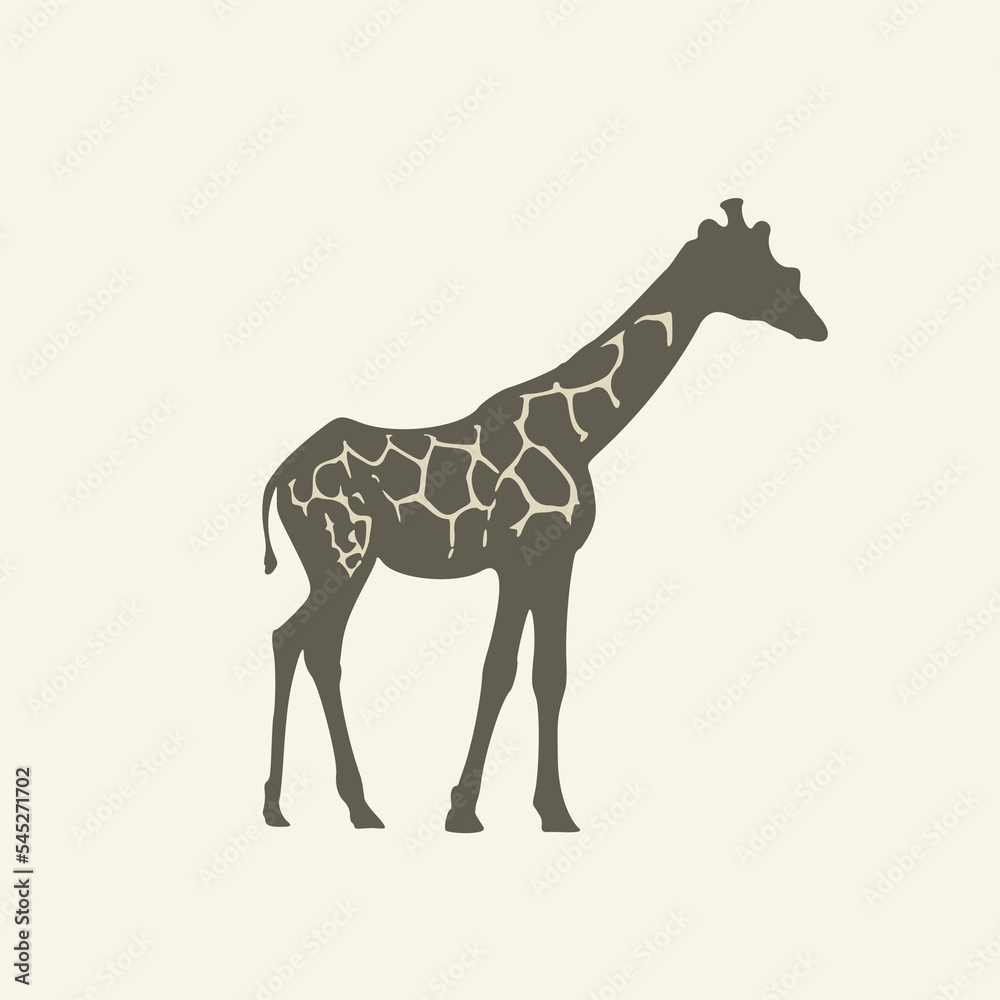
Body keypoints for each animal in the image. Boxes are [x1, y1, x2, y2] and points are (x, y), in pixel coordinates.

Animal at [259, 199, 827, 832]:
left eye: (782, 264)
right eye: (756, 268)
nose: (816, 325)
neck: (581, 433)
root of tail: (281, 476)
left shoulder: (555, 559)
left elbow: (547, 674)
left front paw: (552, 810)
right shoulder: (520, 556)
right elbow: (499, 671)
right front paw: (465, 811)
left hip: (343, 561)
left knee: (317, 649)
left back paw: (350, 806)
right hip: (344, 552)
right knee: (293, 638)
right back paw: (285, 806)